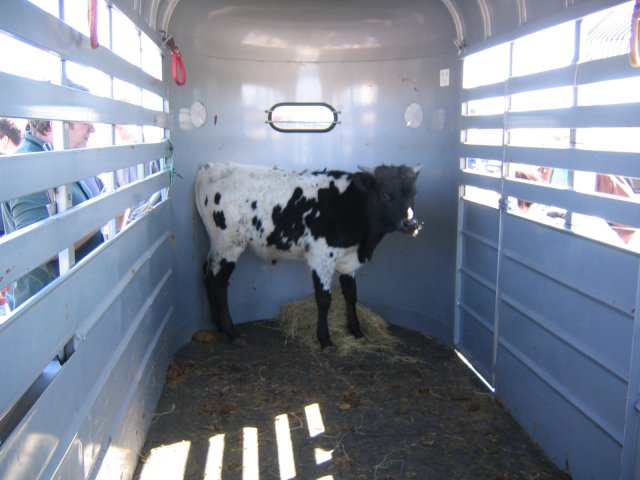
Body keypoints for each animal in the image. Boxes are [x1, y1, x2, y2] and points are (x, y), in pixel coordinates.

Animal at [195, 162, 422, 350]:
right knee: (218, 282)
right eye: (385, 194)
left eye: (413, 193)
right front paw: (325, 340)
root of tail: (210, 167)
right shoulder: (321, 258)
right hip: (228, 244)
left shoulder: (348, 260)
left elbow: (351, 294)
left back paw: (218, 324)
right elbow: (324, 299)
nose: (411, 223)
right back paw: (231, 332)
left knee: (207, 273)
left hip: (217, 245)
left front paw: (357, 331)